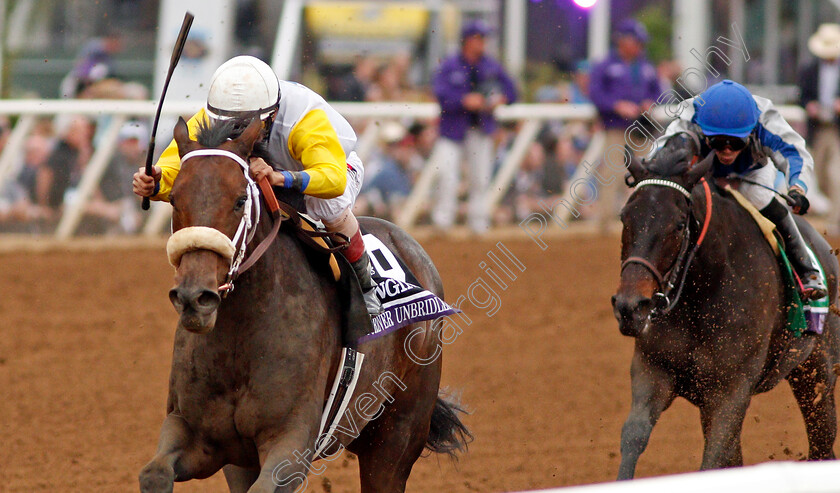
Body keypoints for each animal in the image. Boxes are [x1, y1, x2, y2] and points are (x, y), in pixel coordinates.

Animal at [136, 117, 466, 490]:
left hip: (396, 436)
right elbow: (154, 473)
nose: (195, 297)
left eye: (239, 200)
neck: (238, 340)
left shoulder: (292, 441)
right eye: (175, 198)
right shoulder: (198, 434)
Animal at [612, 134, 840, 476]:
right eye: (625, 217)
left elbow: (714, 457)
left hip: (817, 372)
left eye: (678, 225)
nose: (630, 306)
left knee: (822, 443)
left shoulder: (731, 388)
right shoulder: (653, 370)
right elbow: (634, 436)